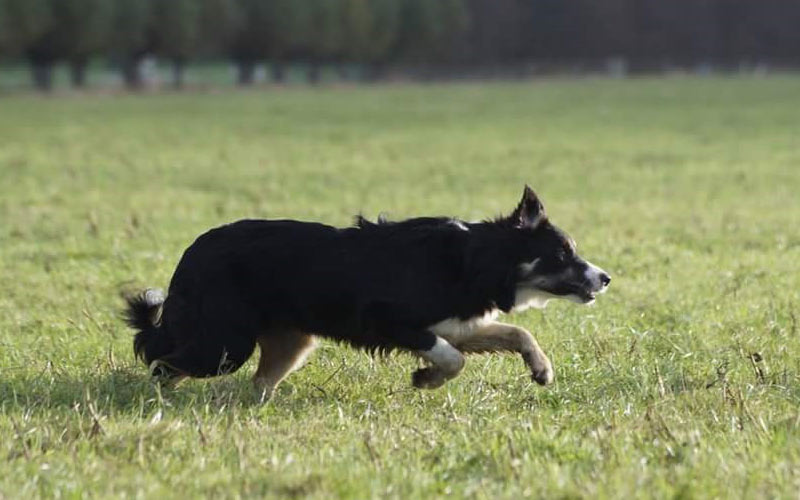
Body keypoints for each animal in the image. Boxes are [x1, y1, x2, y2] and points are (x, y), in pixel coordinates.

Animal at [128, 186, 608, 396]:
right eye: (563, 254)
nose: (605, 278)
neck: (475, 260)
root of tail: (192, 252)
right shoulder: (388, 319)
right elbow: (452, 359)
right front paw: (426, 378)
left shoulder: (456, 323)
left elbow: (516, 334)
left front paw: (541, 370)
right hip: (225, 345)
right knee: (161, 362)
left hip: (291, 342)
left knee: (257, 381)